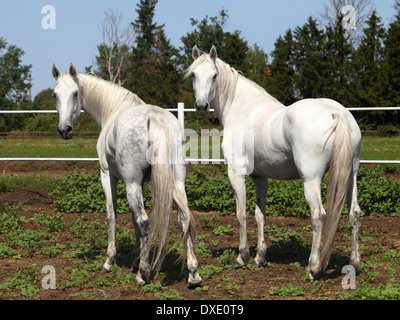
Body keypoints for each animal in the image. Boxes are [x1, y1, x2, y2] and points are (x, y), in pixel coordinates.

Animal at [52, 63, 203, 286]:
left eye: (75, 93)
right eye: (55, 94)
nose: (64, 130)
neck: (113, 109)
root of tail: (155, 119)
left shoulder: (109, 176)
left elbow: (112, 217)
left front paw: (110, 261)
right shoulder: (142, 183)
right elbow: (133, 221)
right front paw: (135, 260)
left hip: (131, 184)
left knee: (144, 221)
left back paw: (143, 273)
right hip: (176, 181)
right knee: (184, 218)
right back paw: (193, 274)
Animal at [188, 46, 362, 278]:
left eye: (214, 75)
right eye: (193, 75)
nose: (201, 106)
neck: (242, 108)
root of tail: (337, 113)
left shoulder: (236, 174)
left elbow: (241, 215)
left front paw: (242, 257)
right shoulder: (260, 177)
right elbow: (259, 215)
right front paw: (259, 258)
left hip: (311, 179)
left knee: (318, 216)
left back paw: (313, 267)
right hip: (351, 175)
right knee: (354, 214)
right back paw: (355, 263)